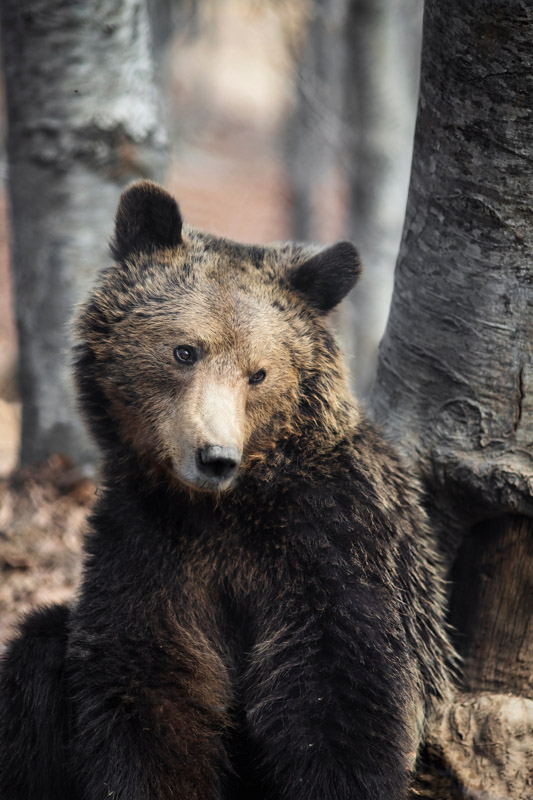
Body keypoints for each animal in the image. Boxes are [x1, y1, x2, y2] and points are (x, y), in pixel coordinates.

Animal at [0, 181, 454, 800]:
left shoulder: (336, 542)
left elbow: (340, 693)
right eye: (184, 350)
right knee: (39, 653)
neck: (230, 509)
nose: (215, 457)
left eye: (259, 373)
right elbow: (155, 681)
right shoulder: (149, 540)